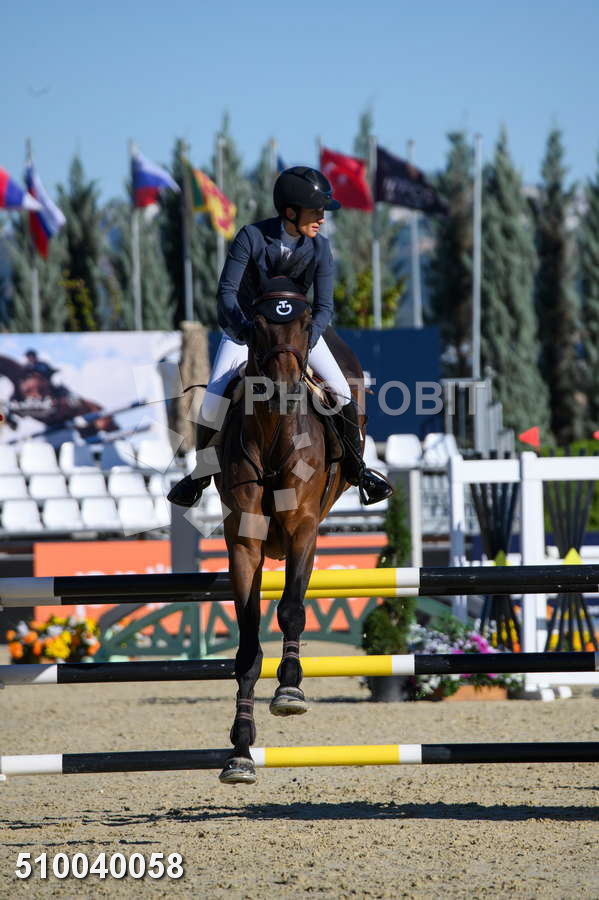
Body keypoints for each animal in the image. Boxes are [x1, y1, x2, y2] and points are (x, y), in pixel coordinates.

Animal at [214, 289, 365, 784]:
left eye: (302, 324)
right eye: (259, 325)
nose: (282, 391)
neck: (274, 434)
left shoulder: (302, 531)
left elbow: (293, 609)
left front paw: (289, 690)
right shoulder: (244, 547)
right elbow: (247, 648)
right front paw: (240, 749)